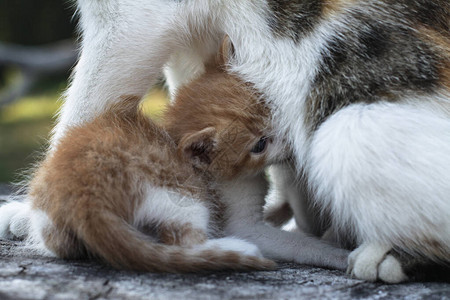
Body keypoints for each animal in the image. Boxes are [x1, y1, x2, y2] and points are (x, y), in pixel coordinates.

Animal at [3, 0, 450, 282]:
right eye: (257, 143)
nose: (285, 143)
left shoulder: (133, 18)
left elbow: (87, 104)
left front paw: (33, 211)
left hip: (346, 130)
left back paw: (382, 256)